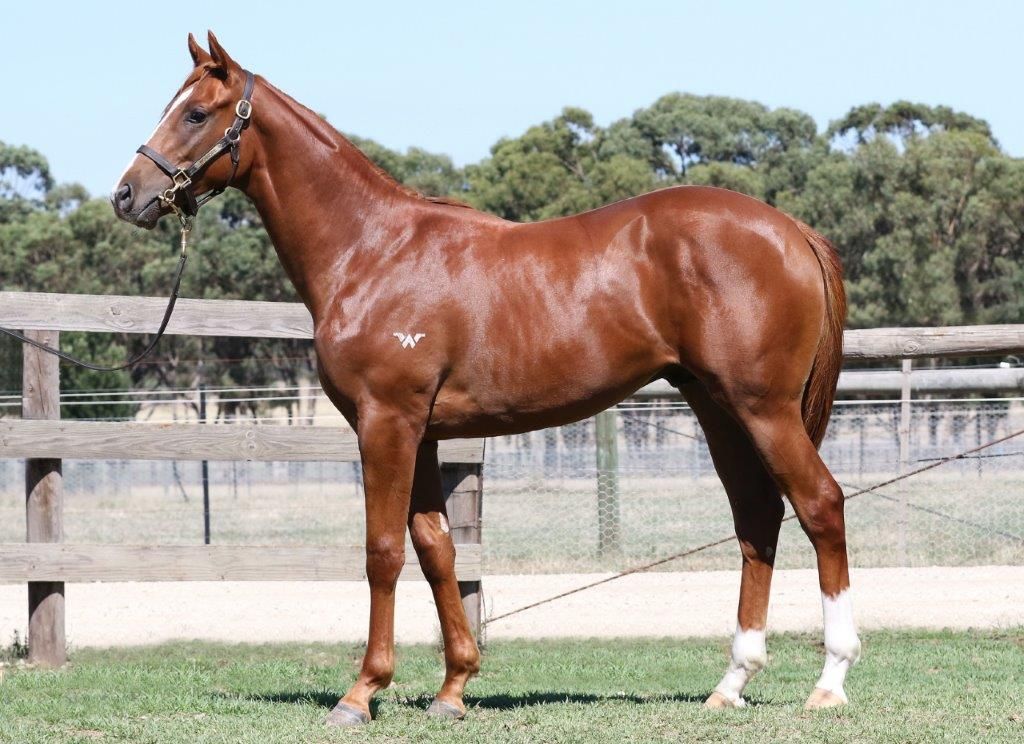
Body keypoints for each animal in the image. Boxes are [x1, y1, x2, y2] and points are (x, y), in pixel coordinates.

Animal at [112, 31, 860, 725]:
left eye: (197, 113)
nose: (128, 195)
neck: (371, 250)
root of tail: (790, 230)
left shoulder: (386, 423)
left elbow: (383, 551)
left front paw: (362, 693)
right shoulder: (422, 434)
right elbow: (437, 549)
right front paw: (453, 689)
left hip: (763, 408)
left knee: (820, 505)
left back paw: (829, 681)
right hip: (717, 408)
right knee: (756, 517)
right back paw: (731, 682)